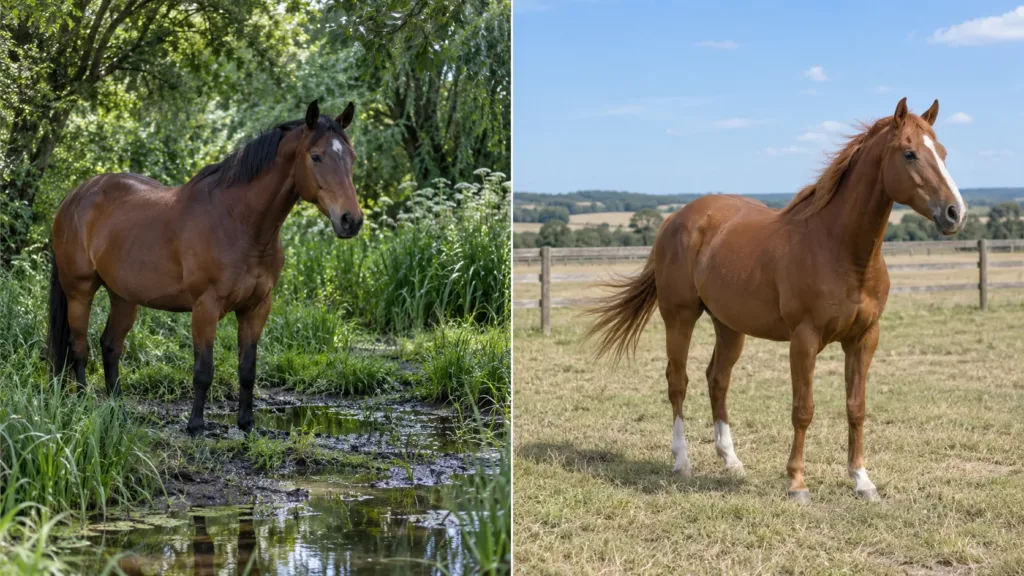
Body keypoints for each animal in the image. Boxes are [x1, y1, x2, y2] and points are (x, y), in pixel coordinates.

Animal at [46, 99, 363, 436]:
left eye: (351, 157)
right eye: (316, 156)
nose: (351, 220)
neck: (239, 224)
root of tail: (76, 196)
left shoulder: (257, 307)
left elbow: (247, 368)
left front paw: (247, 423)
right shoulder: (205, 307)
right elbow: (203, 369)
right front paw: (196, 425)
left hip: (124, 297)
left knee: (110, 346)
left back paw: (119, 411)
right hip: (80, 291)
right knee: (79, 347)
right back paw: (82, 403)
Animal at [586, 98, 966, 502]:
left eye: (943, 152)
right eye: (910, 153)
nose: (955, 213)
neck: (838, 248)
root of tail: (674, 219)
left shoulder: (864, 339)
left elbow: (856, 408)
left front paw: (862, 481)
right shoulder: (804, 339)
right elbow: (804, 409)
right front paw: (797, 484)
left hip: (729, 326)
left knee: (717, 379)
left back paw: (731, 460)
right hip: (680, 317)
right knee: (678, 381)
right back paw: (682, 462)